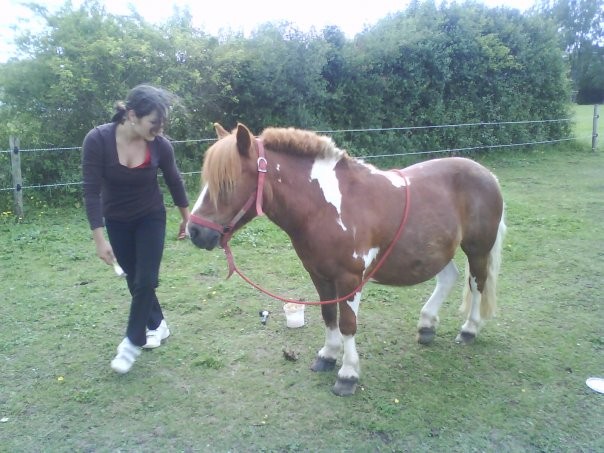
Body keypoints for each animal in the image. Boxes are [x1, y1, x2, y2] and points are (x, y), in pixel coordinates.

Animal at [189, 123, 504, 396]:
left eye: (227, 183)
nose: (195, 231)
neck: (326, 207)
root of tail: (488, 174)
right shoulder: (318, 274)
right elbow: (329, 316)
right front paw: (328, 356)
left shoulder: (349, 279)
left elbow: (348, 324)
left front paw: (348, 374)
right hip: (438, 249)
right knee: (449, 277)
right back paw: (427, 325)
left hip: (477, 249)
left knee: (477, 283)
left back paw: (469, 329)